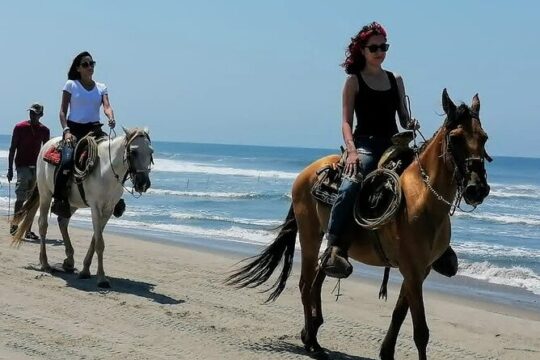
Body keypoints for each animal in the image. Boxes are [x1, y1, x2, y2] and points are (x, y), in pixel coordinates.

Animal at [11, 128, 154, 288]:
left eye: (151, 151)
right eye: (134, 152)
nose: (143, 183)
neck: (107, 170)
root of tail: (47, 145)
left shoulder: (108, 210)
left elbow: (95, 239)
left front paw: (85, 270)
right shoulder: (96, 207)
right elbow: (99, 243)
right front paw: (102, 279)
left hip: (72, 203)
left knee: (62, 222)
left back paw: (69, 261)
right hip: (45, 193)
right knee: (43, 225)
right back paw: (45, 263)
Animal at [227, 88, 490, 358]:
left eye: (484, 138)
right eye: (455, 138)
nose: (477, 189)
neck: (421, 197)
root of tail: (308, 171)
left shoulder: (420, 270)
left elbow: (398, 314)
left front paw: (386, 353)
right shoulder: (412, 270)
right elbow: (421, 332)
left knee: (317, 279)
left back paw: (312, 336)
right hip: (309, 234)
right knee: (304, 284)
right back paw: (312, 342)